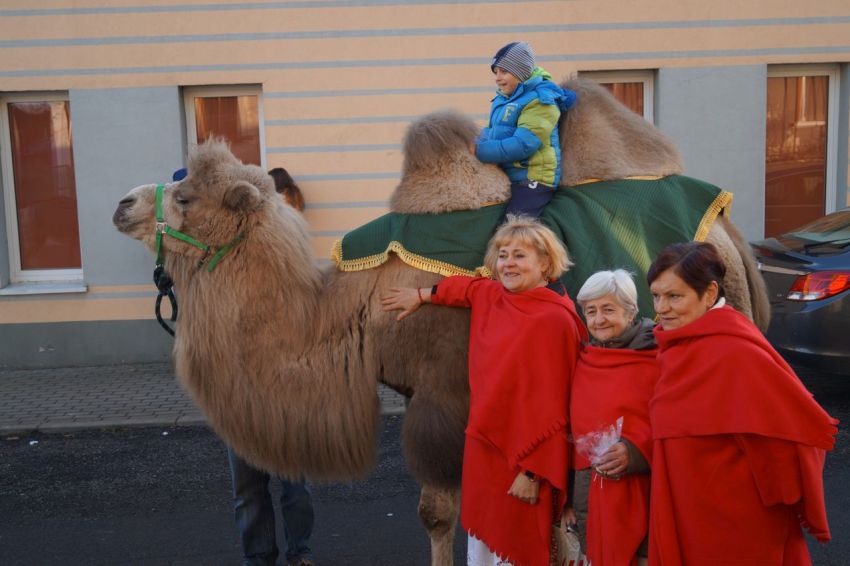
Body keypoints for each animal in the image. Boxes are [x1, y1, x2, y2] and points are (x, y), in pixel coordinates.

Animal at [112, 78, 769, 565]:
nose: (123, 204)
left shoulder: (444, 393)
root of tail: (727, 231)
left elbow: (440, 511)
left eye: (187, 197)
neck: (360, 307)